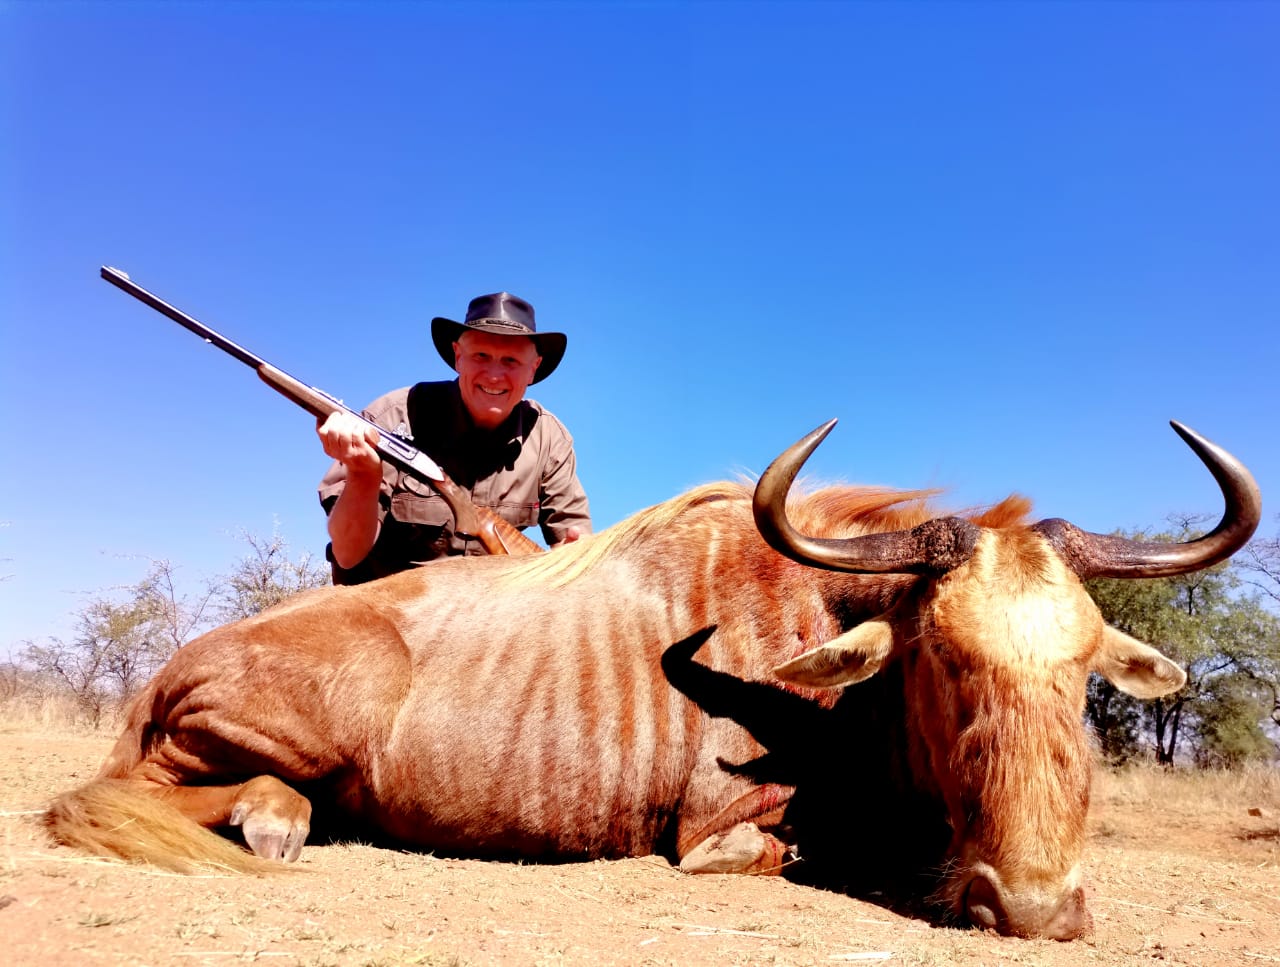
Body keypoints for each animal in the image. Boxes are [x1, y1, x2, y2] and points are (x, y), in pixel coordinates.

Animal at [44, 420, 1260, 940]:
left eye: (1082, 673)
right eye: (941, 661)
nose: (1037, 909)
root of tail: (170, 669)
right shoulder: (718, 837)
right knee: (121, 795)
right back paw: (269, 817)